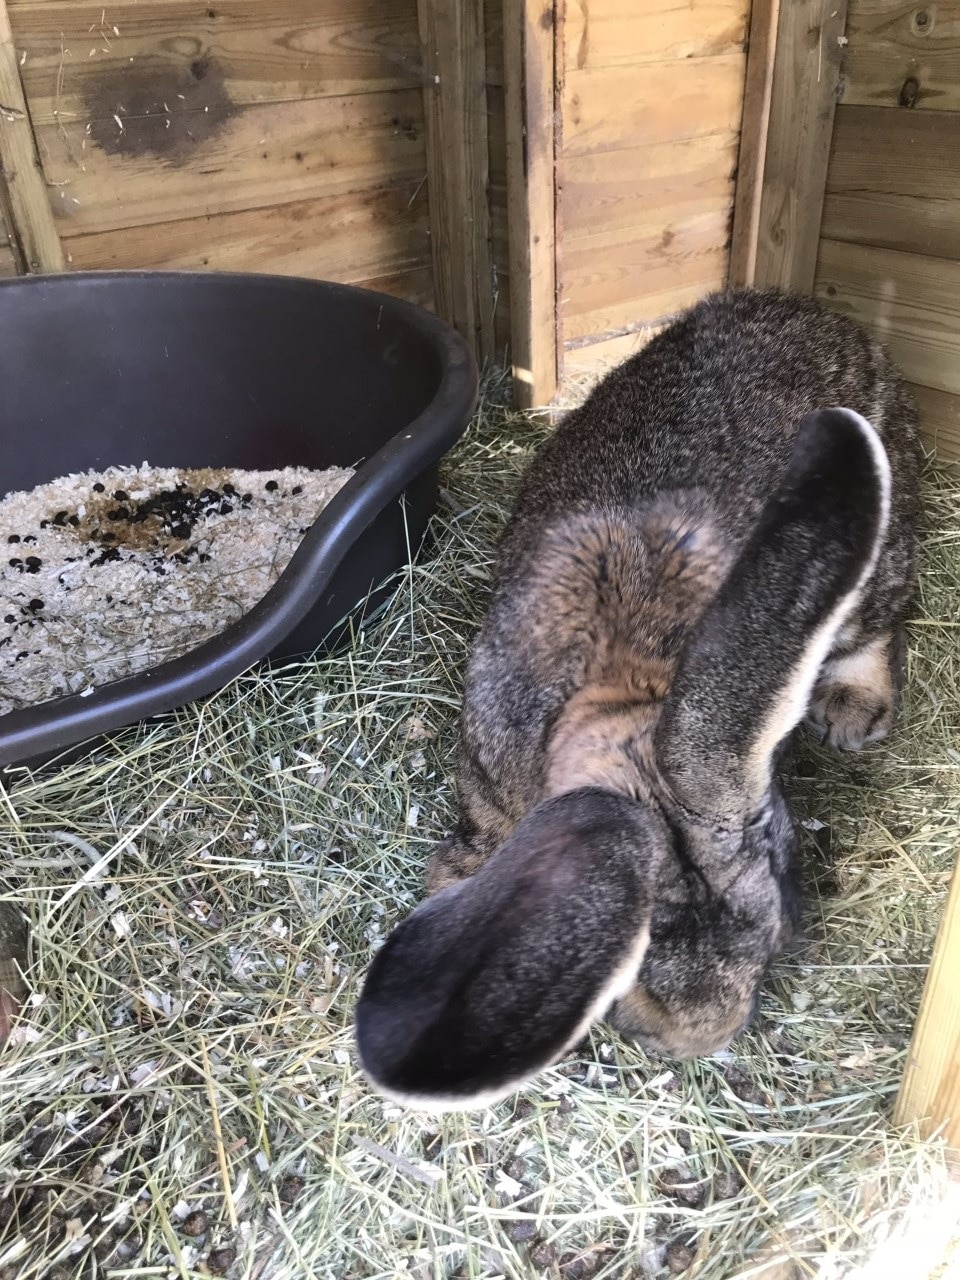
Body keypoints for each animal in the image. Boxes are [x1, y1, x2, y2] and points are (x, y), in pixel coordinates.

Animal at [355, 287, 922, 1111]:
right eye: (623, 972)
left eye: (774, 934)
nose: (702, 1037)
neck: (631, 692)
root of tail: (820, 312)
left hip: (878, 554)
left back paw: (851, 709)